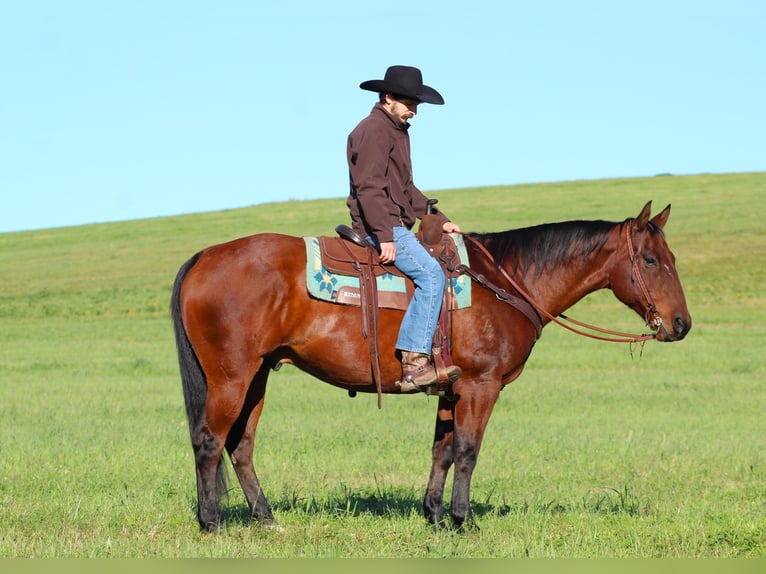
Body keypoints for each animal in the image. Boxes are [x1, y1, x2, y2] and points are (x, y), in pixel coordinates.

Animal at [171, 201, 692, 532]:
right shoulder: (482, 386)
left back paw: (267, 520)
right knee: (210, 440)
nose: (681, 324)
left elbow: (441, 450)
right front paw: (463, 520)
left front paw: (435, 515)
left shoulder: (451, 388)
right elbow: (467, 450)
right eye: (650, 260)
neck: (506, 281)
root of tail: (205, 256)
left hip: (258, 376)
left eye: (671, 257)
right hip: (231, 377)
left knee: (241, 446)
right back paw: (211, 522)